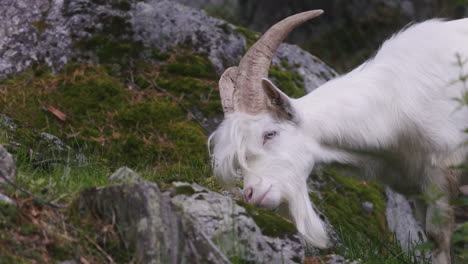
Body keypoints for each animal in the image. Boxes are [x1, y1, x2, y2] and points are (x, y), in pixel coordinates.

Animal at [209, 10, 468, 264]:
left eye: (270, 133)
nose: (250, 194)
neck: (397, 98)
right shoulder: (417, 184)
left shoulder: (442, 173)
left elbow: (437, 236)